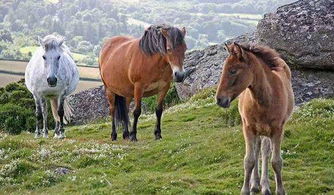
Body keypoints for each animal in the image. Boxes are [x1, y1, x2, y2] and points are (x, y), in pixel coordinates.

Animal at [215, 43, 294, 195]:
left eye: (233, 71)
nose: (220, 99)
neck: (266, 98)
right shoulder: (248, 128)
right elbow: (249, 161)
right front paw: (246, 189)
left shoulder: (277, 130)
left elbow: (276, 161)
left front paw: (280, 190)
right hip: (258, 130)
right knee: (257, 150)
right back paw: (255, 185)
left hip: (266, 132)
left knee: (264, 151)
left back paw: (264, 185)